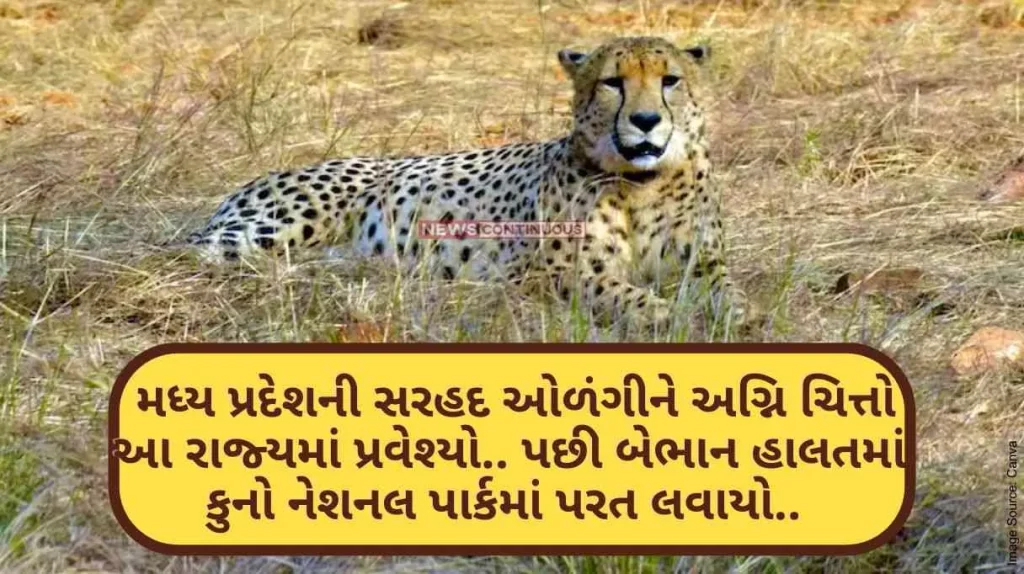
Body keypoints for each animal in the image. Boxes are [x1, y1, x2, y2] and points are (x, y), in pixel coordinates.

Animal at [185, 36, 750, 331]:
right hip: (270, 230)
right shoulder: (557, 274)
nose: (647, 121)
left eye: (670, 80)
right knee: (189, 252)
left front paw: (739, 314)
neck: (642, 183)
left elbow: (727, 291)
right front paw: (664, 314)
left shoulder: (703, 262)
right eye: (613, 82)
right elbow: (622, 293)